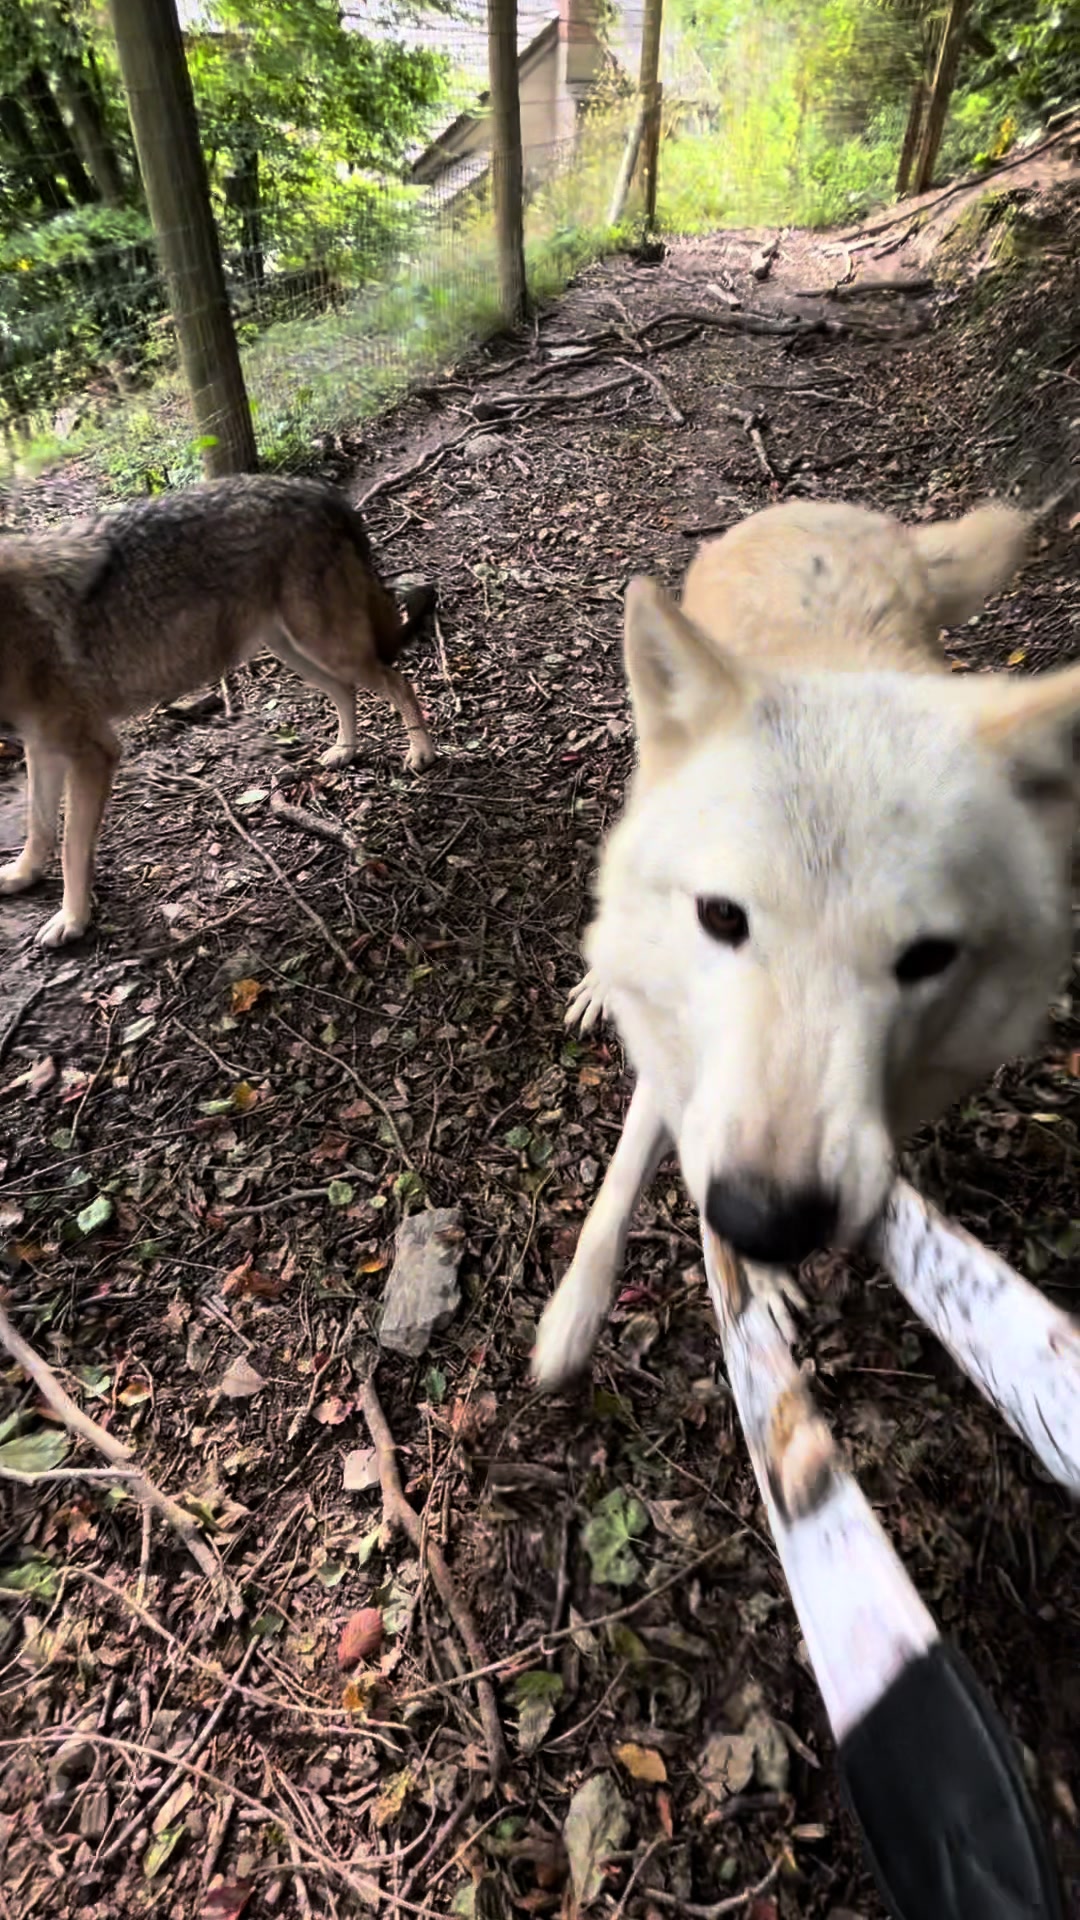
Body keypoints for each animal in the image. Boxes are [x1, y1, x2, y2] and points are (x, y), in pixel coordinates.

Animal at [0, 475, 436, 948]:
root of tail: (316, 490)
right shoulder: (41, 746)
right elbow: (39, 825)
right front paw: (22, 875)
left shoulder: (93, 752)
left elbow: (70, 847)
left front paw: (72, 919)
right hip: (294, 650)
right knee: (345, 690)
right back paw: (344, 750)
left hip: (328, 646)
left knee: (398, 681)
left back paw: (421, 753)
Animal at [532, 496, 1080, 1387]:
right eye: (722, 916)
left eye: (928, 957)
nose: (768, 1221)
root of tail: (829, 511)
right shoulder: (677, 1058)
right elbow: (614, 1195)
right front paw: (569, 1324)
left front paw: (761, 1276)